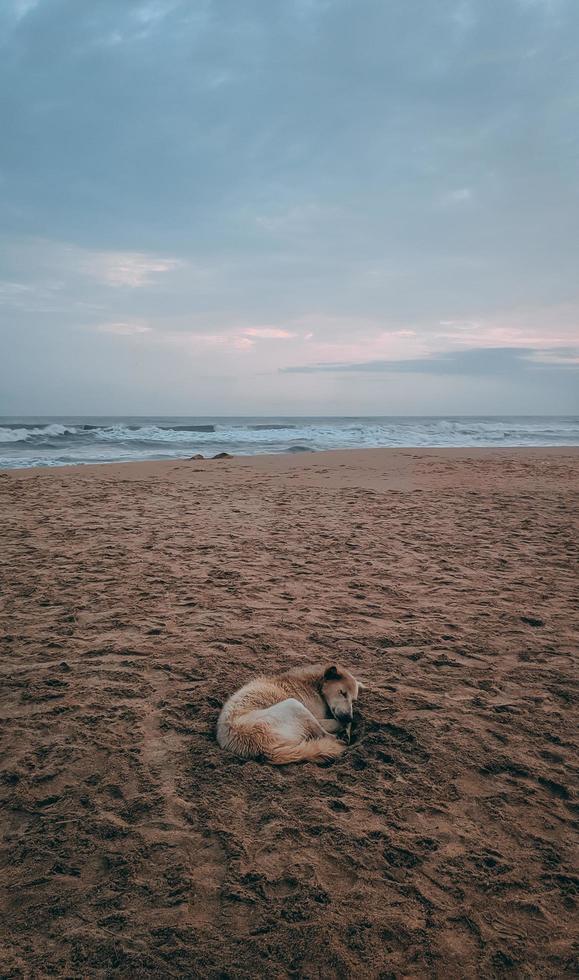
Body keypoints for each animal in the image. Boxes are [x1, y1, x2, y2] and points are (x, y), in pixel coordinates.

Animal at [215, 668, 364, 764]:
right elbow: (335, 722)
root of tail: (264, 747)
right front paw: (346, 727)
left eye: (353, 700)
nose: (349, 716)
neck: (315, 685)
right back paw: (342, 738)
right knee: (326, 736)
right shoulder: (318, 716)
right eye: (342, 693)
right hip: (294, 705)